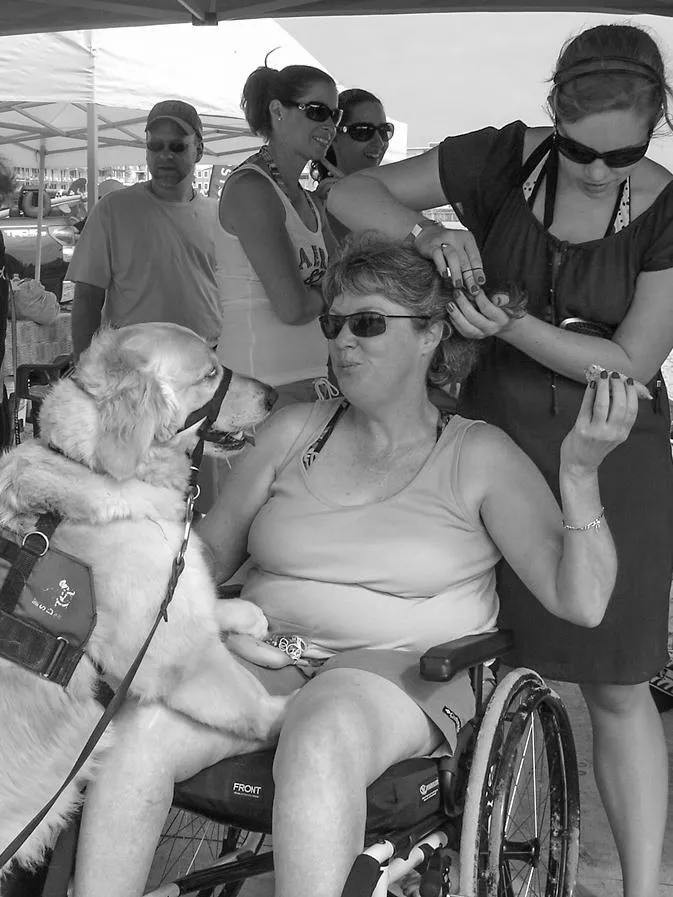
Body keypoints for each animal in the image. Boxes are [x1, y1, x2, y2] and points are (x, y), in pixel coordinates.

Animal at [0, 322, 286, 880]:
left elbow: (212, 603)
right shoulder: (176, 660)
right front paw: (297, 712)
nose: (274, 395)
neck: (95, 469)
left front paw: (250, 617)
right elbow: (260, 709)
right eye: (210, 373)